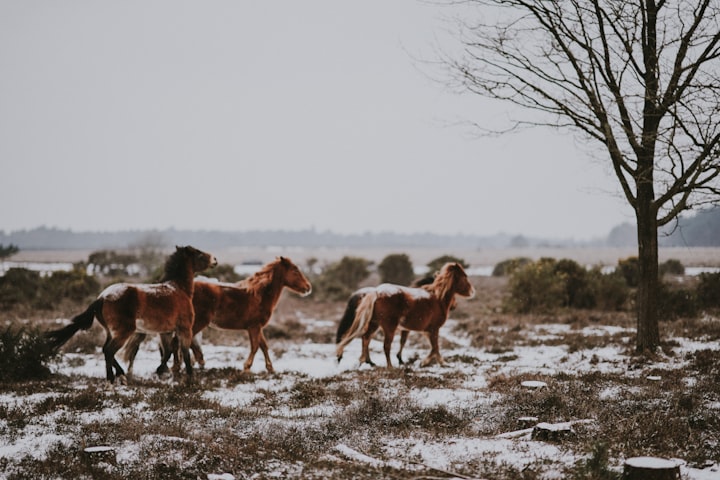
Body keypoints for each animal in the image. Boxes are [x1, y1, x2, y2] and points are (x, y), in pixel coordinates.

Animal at [44, 246, 217, 384]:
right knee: (109, 351)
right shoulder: (184, 329)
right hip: (124, 332)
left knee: (106, 350)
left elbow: (168, 352)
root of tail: (101, 298)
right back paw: (112, 380)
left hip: (111, 332)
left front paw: (163, 371)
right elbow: (184, 353)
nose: (215, 259)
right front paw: (189, 379)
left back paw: (120, 375)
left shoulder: (166, 332)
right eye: (199, 253)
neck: (179, 290)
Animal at [125, 256, 310, 376]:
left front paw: (270, 369)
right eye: (295, 270)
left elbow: (264, 346)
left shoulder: (257, 328)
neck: (259, 294)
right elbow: (256, 347)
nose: (308, 287)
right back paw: (180, 366)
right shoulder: (254, 327)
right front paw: (246, 368)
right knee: (179, 342)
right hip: (196, 323)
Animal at [336, 262, 476, 368]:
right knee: (386, 346)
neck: (438, 299)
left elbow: (433, 348)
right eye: (464, 276)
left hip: (374, 324)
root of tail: (376, 292)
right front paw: (432, 363)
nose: (472, 292)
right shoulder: (433, 329)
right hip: (389, 327)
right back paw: (389, 367)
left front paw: (431, 363)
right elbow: (435, 348)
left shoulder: (425, 330)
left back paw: (365, 362)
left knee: (365, 338)